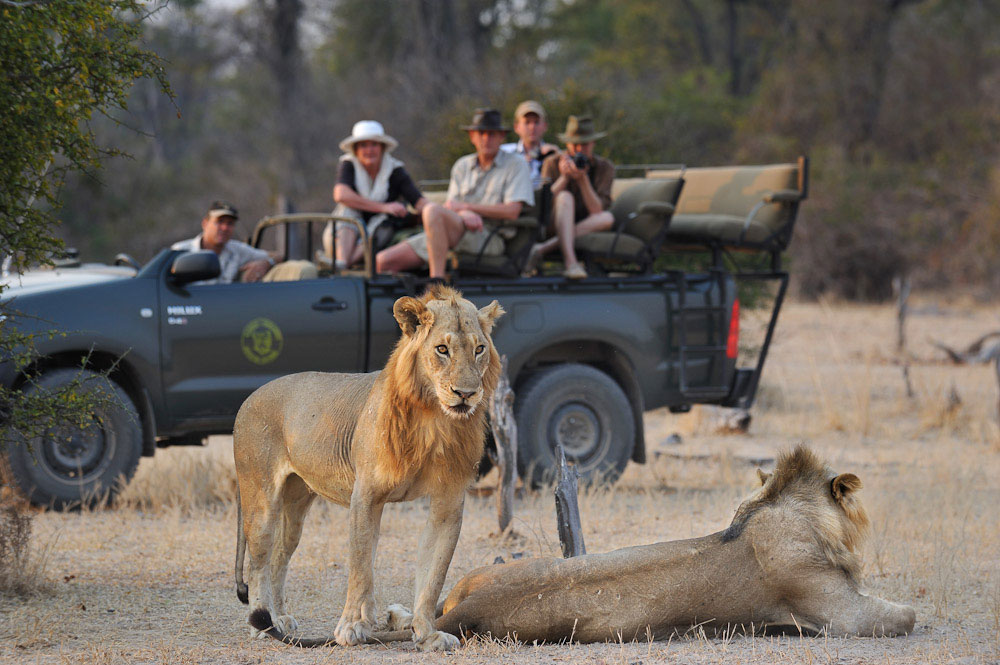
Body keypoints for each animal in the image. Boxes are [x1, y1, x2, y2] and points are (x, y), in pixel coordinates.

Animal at [232, 284, 500, 648]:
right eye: (442, 349)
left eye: (479, 349)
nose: (466, 393)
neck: (432, 420)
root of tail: (249, 396)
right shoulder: (366, 494)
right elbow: (361, 567)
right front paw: (351, 627)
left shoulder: (449, 500)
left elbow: (432, 574)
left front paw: (427, 633)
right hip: (260, 500)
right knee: (258, 563)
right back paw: (261, 623)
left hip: (295, 505)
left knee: (278, 558)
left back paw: (279, 619)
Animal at [252, 446, 916, 644]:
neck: (784, 508)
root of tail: (468, 610)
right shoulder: (841, 613)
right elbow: (907, 616)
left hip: (470, 577)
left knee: (417, 607)